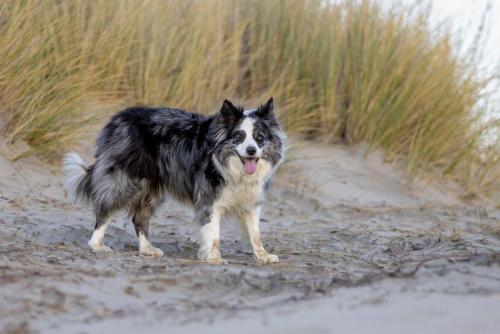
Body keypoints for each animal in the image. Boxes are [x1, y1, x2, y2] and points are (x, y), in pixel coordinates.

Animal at [61, 96, 286, 264]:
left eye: (259, 138)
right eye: (239, 137)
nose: (251, 151)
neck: (234, 167)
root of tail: (116, 120)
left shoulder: (251, 202)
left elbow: (255, 234)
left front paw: (263, 256)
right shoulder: (209, 199)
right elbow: (214, 234)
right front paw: (213, 257)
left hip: (151, 190)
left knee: (139, 219)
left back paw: (147, 249)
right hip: (125, 181)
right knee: (106, 209)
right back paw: (97, 245)